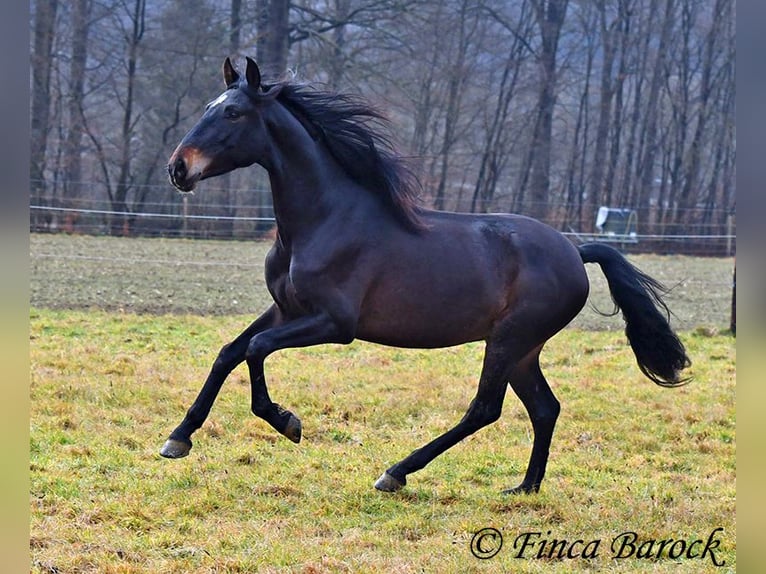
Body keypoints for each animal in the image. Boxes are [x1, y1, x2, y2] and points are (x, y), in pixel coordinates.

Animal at [160, 57, 688, 496]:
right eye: (210, 108)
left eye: (232, 114)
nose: (177, 168)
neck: (324, 220)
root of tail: (575, 252)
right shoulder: (285, 309)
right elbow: (230, 351)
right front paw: (178, 438)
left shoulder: (334, 324)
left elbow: (255, 349)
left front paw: (287, 422)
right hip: (523, 349)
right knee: (544, 408)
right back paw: (524, 488)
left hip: (510, 340)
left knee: (485, 409)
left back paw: (396, 473)